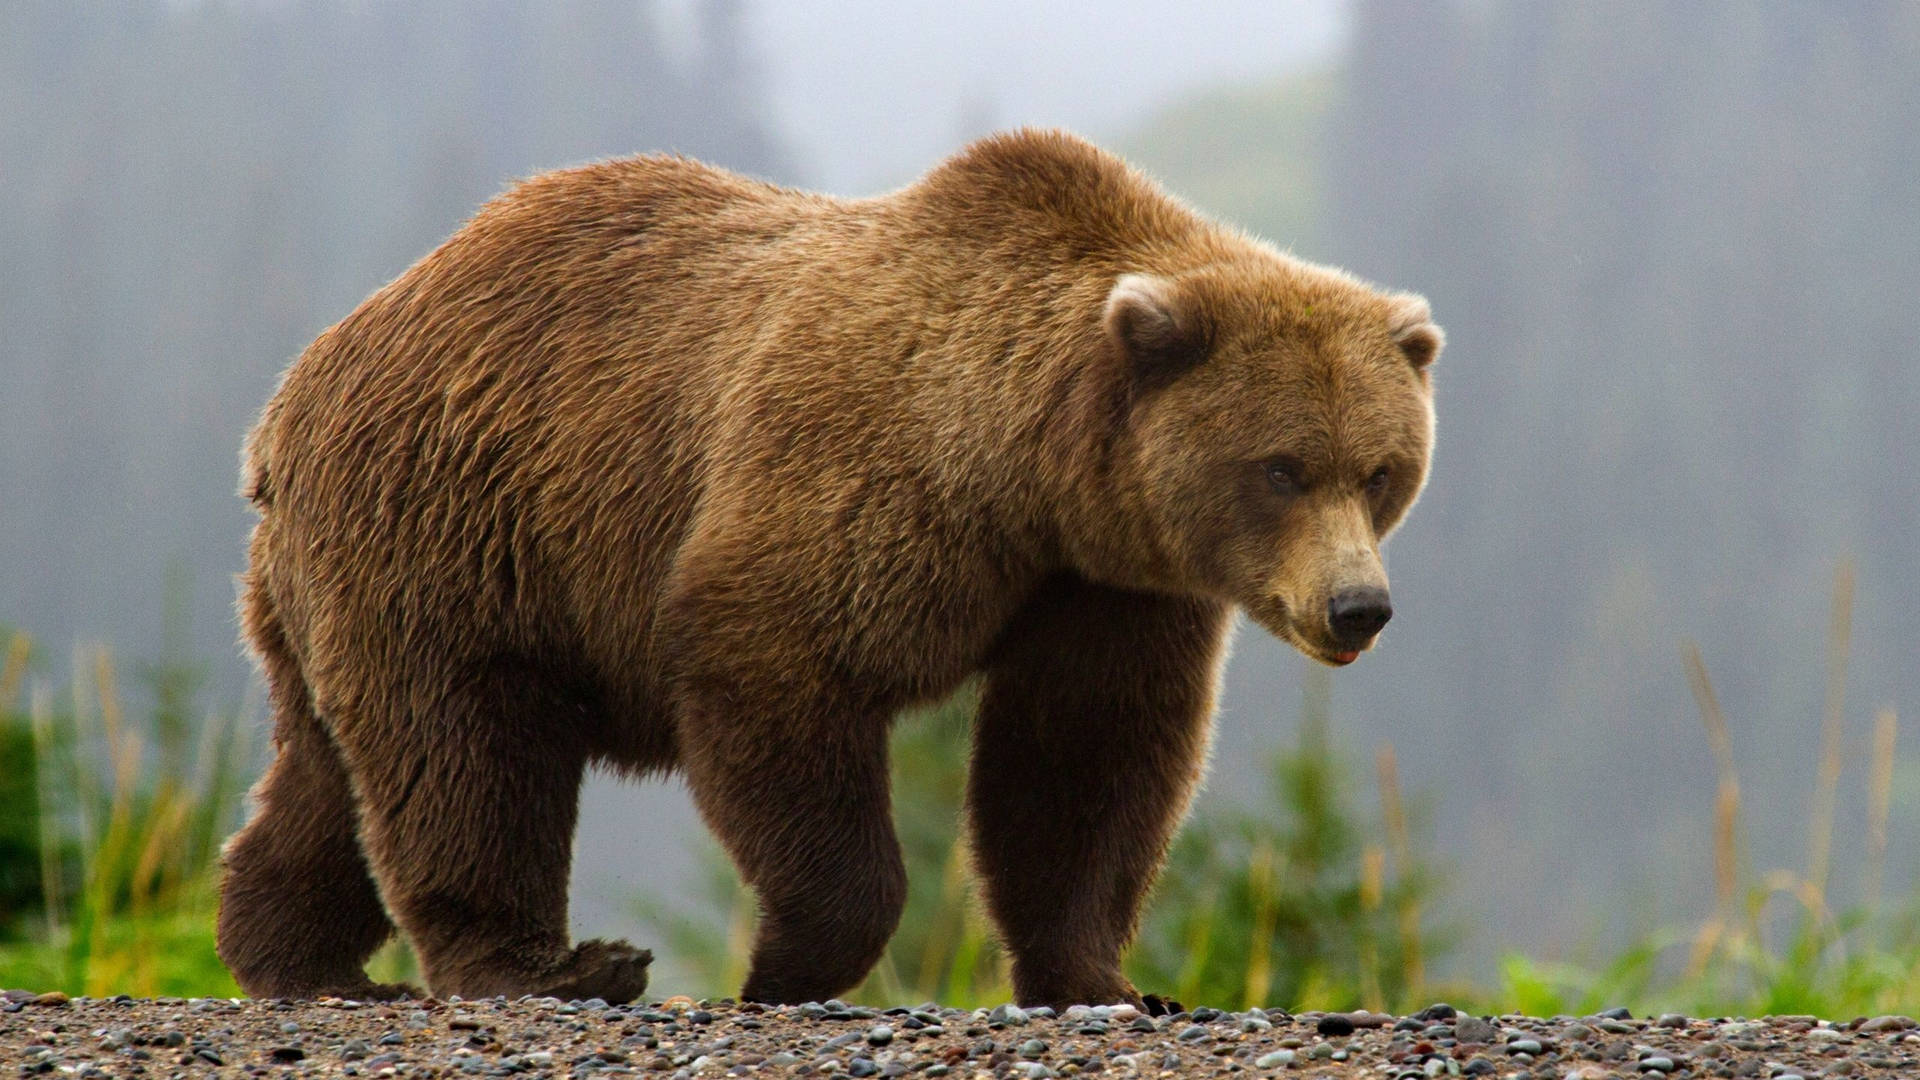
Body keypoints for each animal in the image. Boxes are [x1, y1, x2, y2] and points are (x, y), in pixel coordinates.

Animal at [214, 130, 1443, 1006]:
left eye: (1382, 470)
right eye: (1281, 467)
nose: (1359, 607)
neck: (1031, 474)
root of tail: (296, 391)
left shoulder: (1107, 585)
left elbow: (1085, 759)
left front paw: (1108, 979)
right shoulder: (863, 477)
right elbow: (778, 668)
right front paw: (785, 964)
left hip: (345, 575)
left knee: (330, 770)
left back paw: (294, 955)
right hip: (460, 523)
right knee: (465, 750)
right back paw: (549, 967)